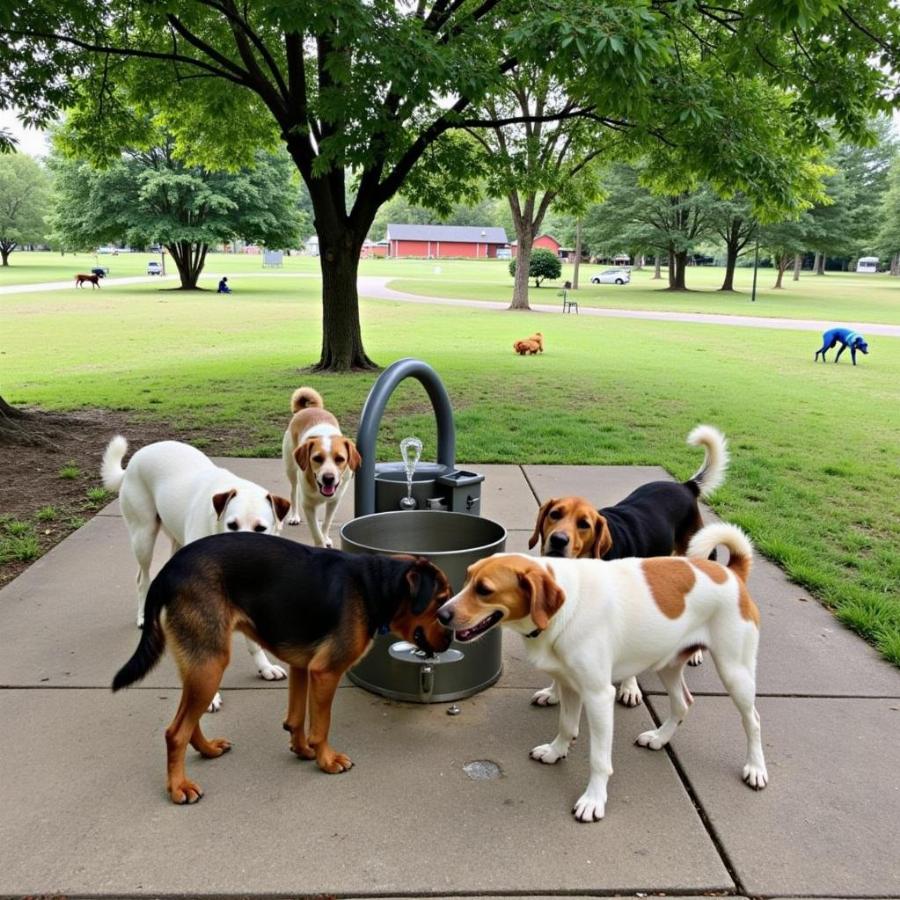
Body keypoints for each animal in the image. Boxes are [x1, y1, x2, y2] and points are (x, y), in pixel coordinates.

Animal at [102, 436, 292, 712]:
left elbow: (254, 642)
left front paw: (264, 666)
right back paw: (143, 615)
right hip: (143, 535)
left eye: (260, 528)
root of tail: (138, 456)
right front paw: (209, 697)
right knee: (142, 578)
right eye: (232, 525)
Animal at [112, 532, 450, 804]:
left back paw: (207, 750)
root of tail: (167, 572)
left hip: (199, 665)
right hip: (210, 665)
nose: (450, 638)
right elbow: (321, 725)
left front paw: (302, 750)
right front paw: (326, 759)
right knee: (174, 733)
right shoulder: (325, 672)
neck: (375, 585)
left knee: (187, 721)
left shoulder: (302, 666)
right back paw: (178, 787)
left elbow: (296, 719)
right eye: (441, 601)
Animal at [284, 386, 362, 548]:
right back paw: (294, 516)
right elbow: (316, 533)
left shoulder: (334, 501)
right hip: (290, 468)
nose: (328, 478)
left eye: (340, 459)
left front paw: (325, 537)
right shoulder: (308, 505)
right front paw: (321, 544)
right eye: (317, 458)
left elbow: (326, 523)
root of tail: (308, 409)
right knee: (293, 492)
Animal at [436, 520, 768, 824]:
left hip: (734, 672)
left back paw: (755, 768)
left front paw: (593, 799)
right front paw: (556, 751)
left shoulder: (598, 696)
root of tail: (732, 573)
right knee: (683, 703)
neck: (566, 608)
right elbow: (566, 726)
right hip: (669, 664)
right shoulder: (570, 685)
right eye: (467, 579)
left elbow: (598, 759)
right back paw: (659, 738)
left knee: (752, 720)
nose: (440, 614)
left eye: (484, 590)